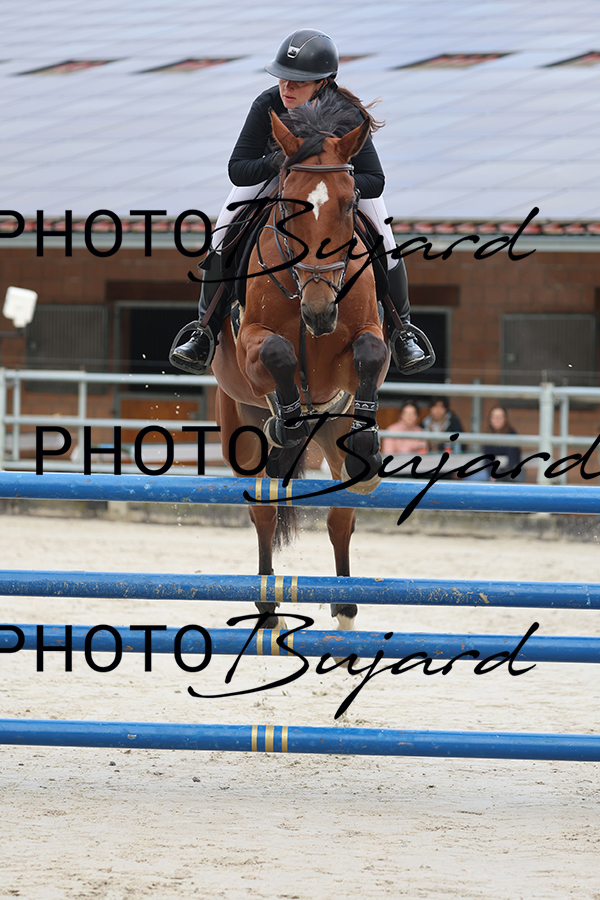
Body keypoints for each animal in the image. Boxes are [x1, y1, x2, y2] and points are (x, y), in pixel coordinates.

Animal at [211, 94, 390, 631]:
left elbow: (371, 353)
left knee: (341, 514)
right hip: (240, 425)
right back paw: (269, 609)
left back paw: (346, 608)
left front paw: (369, 438)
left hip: (333, 431)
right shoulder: (251, 347)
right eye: (290, 205)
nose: (319, 311)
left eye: (349, 203)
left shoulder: (357, 354)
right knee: (264, 509)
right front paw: (288, 421)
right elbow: (278, 352)